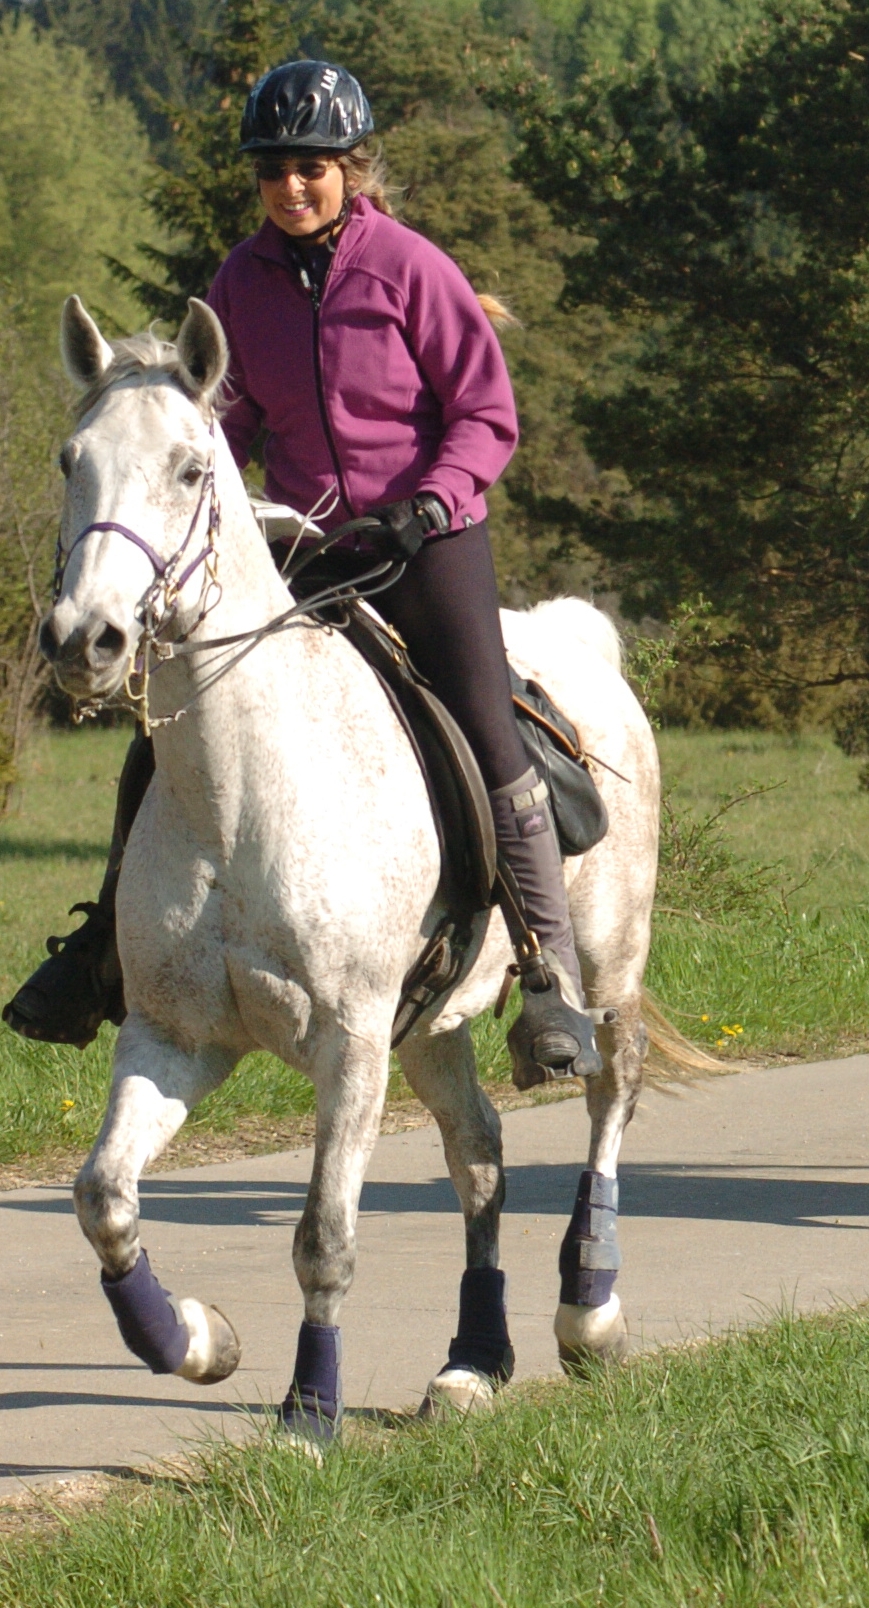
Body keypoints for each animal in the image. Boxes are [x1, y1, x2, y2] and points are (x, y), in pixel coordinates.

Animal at [42, 295, 659, 1440]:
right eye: (71, 461)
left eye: (189, 469)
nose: (85, 639)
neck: (243, 793)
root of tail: (577, 641)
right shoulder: (175, 1037)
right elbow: (102, 1196)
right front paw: (194, 1340)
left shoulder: (352, 1041)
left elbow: (323, 1238)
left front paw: (307, 1413)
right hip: (436, 1024)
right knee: (479, 1155)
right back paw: (471, 1361)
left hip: (607, 965)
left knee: (608, 1091)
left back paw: (588, 1309)